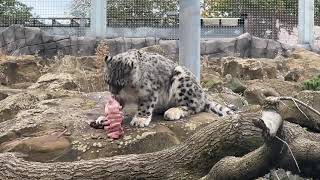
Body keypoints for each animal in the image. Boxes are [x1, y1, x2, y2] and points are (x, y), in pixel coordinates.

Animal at [104, 49, 234, 127]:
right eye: (107, 81)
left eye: (121, 84)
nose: (113, 92)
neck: (129, 91)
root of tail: (204, 95)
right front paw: (105, 118)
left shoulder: (149, 92)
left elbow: (145, 106)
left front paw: (140, 119)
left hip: (181, 79)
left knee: (193, 106)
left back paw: (172, 112)